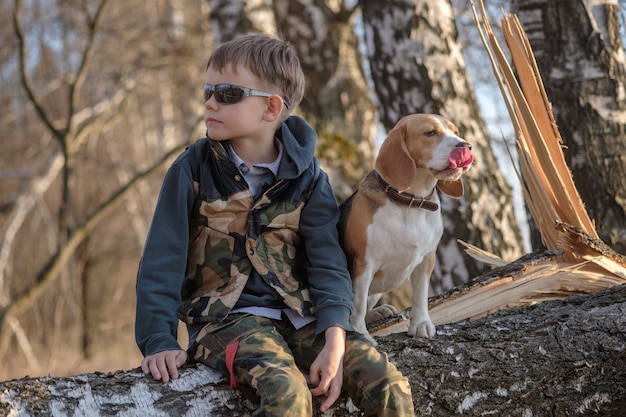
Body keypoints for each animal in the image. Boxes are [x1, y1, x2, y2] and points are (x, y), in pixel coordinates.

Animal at [338, 112, 470, 342]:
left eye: (456, 132)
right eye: (430, 132)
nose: (466, 146)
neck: (411, 201)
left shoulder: (426, 260)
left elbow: (420, 295)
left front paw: (421, 324)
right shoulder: (365, 264)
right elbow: (358, 304)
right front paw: (361, 334)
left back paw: (379, 312)